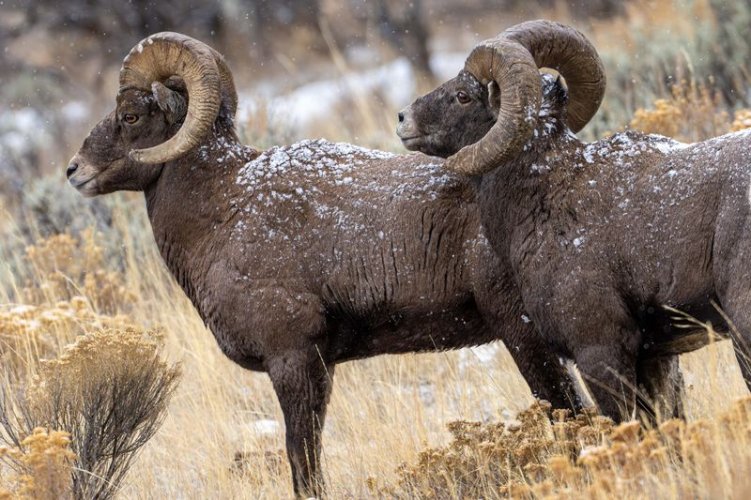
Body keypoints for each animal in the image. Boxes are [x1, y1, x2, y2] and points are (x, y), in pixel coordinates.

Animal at [66, 31, 588, 496]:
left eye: (130, 115)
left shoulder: (292, 360)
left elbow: (303, 462)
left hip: (522, 335)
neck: (223, 209)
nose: (74, 171)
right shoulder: (321, 367)